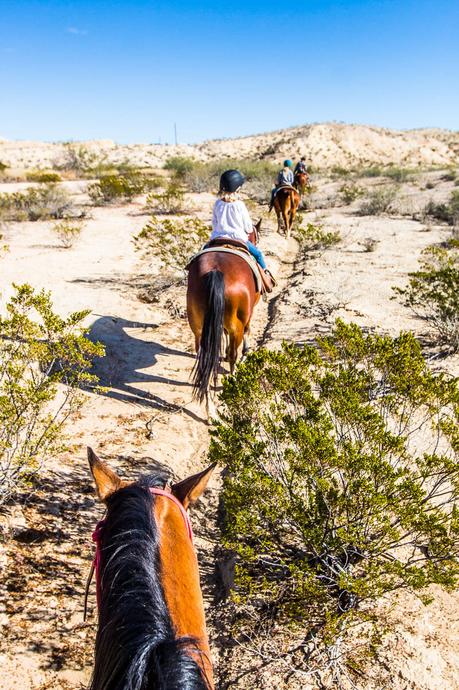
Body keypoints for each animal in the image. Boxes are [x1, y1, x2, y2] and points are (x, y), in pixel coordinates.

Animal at [186, 220, 262, 407]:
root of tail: (216, 271)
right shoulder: (247, 315)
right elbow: (247, 331)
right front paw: (246, 351)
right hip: (237, 325)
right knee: (234, 352)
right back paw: (233, 381)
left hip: (198, 327)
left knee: (203, 355)